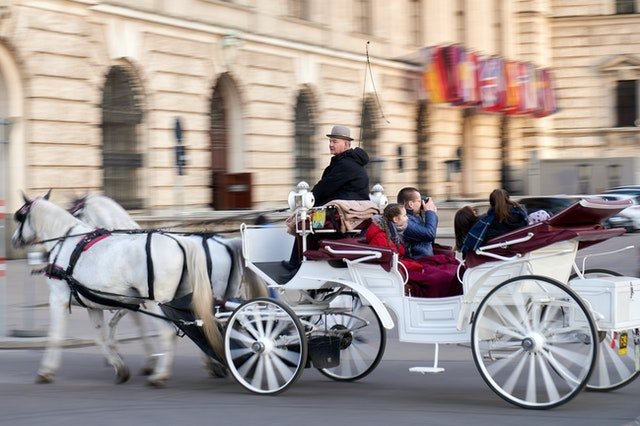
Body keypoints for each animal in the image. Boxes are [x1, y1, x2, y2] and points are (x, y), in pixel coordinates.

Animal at [12, 191, 222, 388]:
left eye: (20, 217)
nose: (14, 239)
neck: (66, 242)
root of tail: (180, 242)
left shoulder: (58, 299)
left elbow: (56, 336)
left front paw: (46, 371)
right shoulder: (94, 304)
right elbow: (101, 337)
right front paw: (119, 366)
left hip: (157, 303)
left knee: (168, 332)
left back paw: (160, 376)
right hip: (183, 299)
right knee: (198, 325)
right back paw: (211, 362)